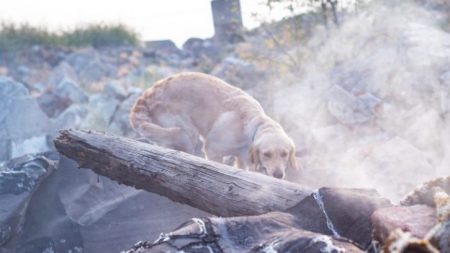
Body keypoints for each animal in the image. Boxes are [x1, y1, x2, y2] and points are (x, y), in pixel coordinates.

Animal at [129, 71, 298, 179]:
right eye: (266, 154)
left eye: (284, 154)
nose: (278, 175)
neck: (250, 128)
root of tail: (148, 93)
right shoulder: (213, 150)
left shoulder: (241, 158)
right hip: (186, 134)